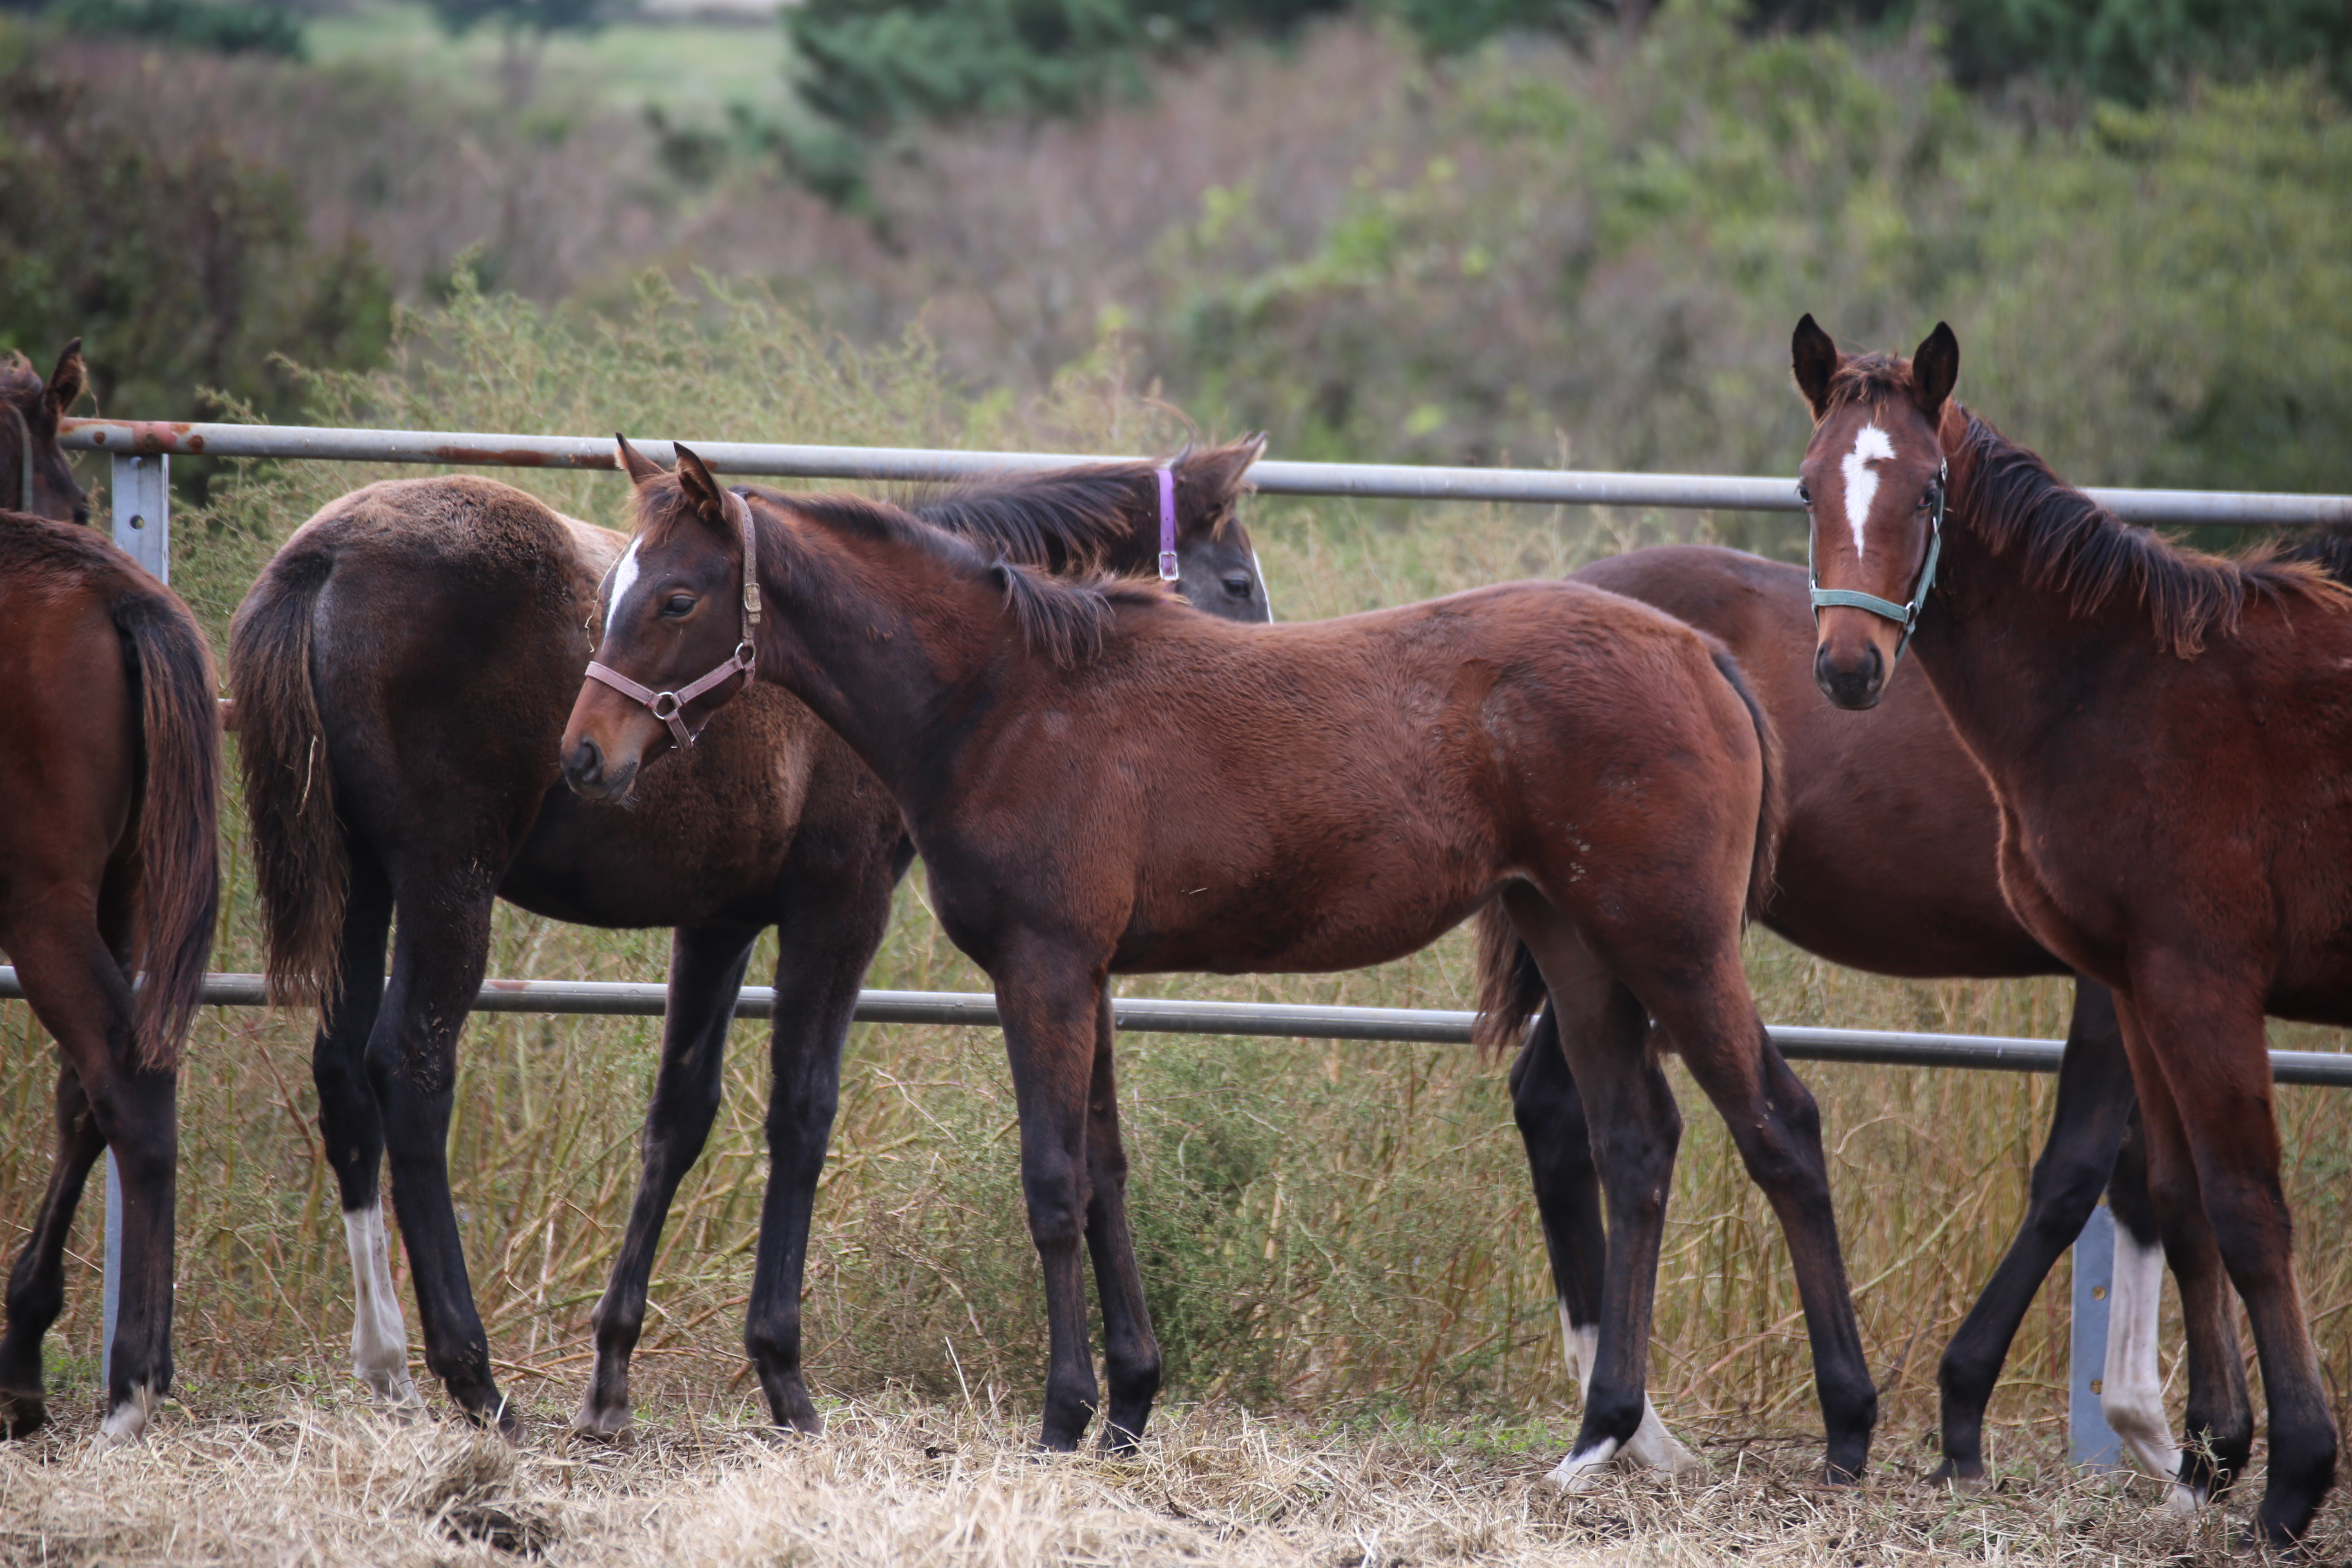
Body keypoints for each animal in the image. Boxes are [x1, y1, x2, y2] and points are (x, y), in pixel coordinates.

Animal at [555, 439, 1872, 1486]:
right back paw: (1601, 1435)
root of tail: (1702, 655)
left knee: (1781, 1126)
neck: (1005, 693)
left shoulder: (1040, 968)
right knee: (1634, 1145)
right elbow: (1104, 1174)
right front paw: (1128, 1410)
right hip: (1578, 942)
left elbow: (1050, 1185)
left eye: (675, 598)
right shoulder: (1084, 973)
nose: (583, 758)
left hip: (1670, 943)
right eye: (612, 592)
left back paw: (1847, 1429)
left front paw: (1062, 1419)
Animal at [1787, 315, 2342, 1542]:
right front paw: (2211, 1453)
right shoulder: (2136, 987)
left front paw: (2292, 1481)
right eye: (1804, 488)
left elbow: (2247, 1207)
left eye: (1929, 491)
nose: (1846, 669)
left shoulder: (2201, 981)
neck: (2123, 687)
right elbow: (2178, 1200)